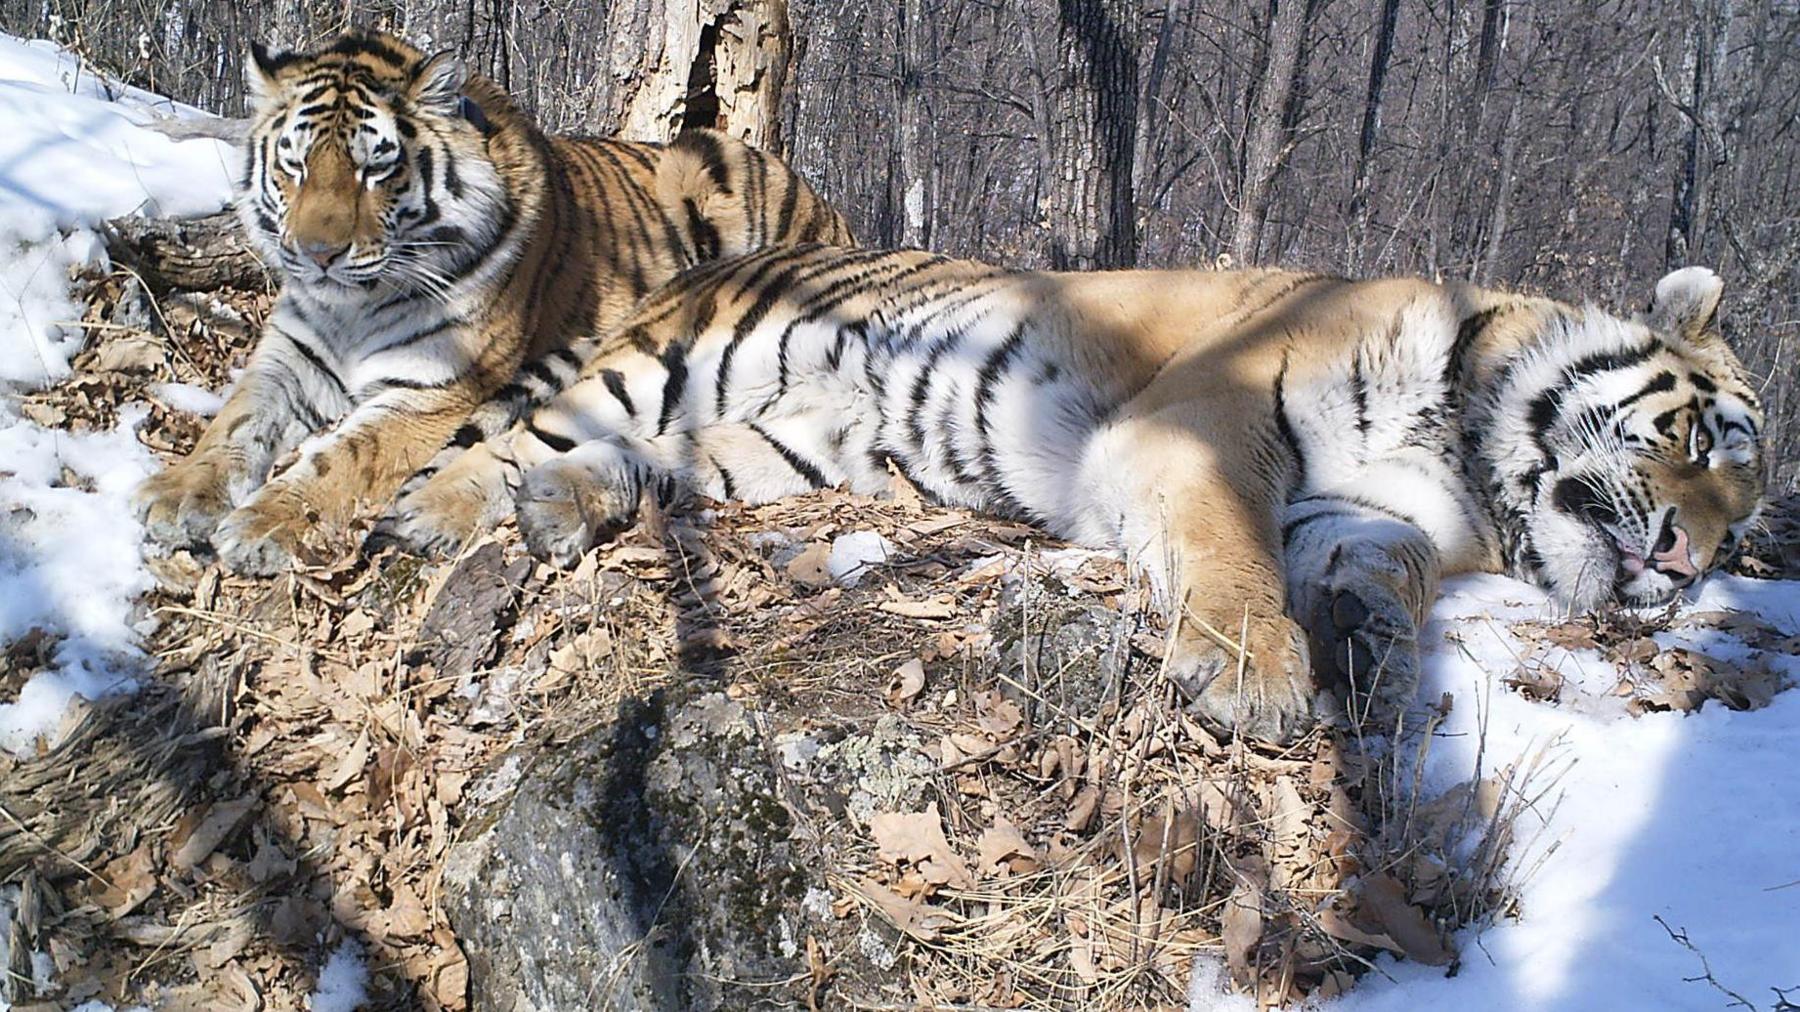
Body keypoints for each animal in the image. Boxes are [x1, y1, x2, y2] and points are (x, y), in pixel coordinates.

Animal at [133, 27, 849, 572]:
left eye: (375, 167)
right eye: (296, 164)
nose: (316, 254)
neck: (353, 307)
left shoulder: (432, 389)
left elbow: (343, 458)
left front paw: (264, 524)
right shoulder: (290, 355)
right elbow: (234, 421)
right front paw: (177, 494)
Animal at [372, 243, 1764, 731]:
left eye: (1748, 526)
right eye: (1706, 443)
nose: (1690, 563)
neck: (1466, 454)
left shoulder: (1361, 511)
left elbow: (1390, 568)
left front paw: (1368, 641)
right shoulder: (1203, 424)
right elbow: (1232, 552)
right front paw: (1255, 676)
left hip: (783, 446)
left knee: (644, 469)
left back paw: (566, 506)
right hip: (678, 361)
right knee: (511, 435)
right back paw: (433, 513)